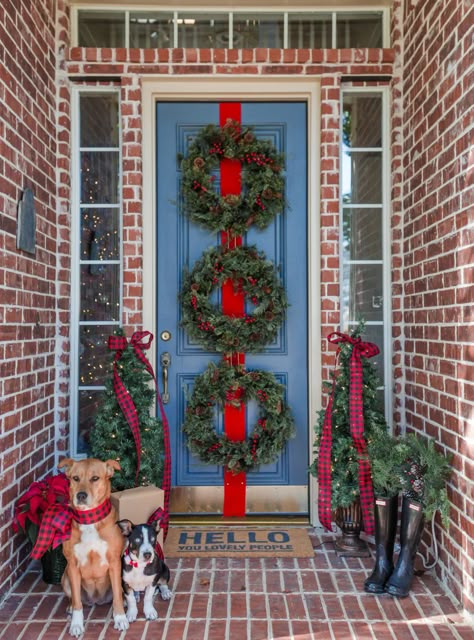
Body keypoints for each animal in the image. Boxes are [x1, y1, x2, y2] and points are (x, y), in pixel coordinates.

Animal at [59, 458, 130, 636]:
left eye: (95, 478)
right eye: (75, 478)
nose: (81, 495)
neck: (89, 519)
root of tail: (96, 600)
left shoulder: (114, 563)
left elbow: (117, 597)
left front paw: (120, 618)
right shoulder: (72, 565)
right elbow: (78, 602)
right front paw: (76, 624)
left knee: (119, 593)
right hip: (65, 577)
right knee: (74, 598)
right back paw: (70, 607)